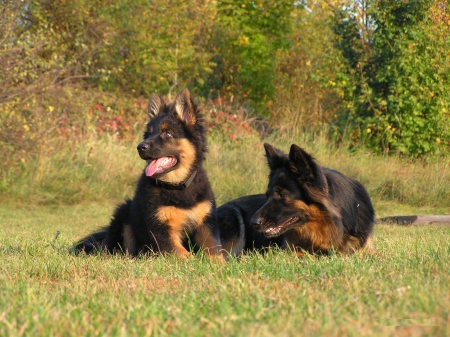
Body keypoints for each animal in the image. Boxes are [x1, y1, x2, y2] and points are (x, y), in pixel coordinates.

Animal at [76, 89, 225, 260]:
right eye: (148, 134)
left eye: (167, 134)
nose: (140, 147)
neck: (176, 186)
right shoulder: (160, 229)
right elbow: (182, 253)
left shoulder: (206, 224)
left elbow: (214, 250)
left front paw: (217, 263)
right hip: (124, 216)